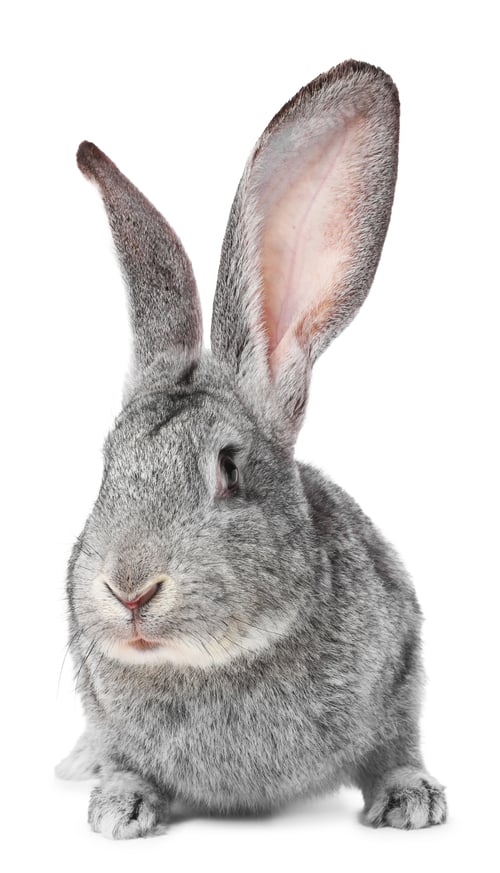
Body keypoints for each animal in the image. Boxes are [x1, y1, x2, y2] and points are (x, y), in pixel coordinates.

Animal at [56, 59, 447, 838]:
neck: (214, 659)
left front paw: (411, 798)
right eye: (107, 465)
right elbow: (122, 760)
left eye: (229, 469)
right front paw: (117, 806)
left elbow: (395, 744)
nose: (128, 589)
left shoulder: (402, 669)